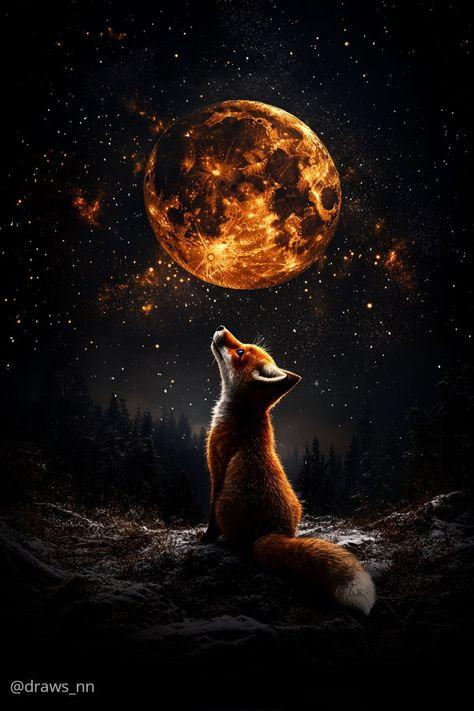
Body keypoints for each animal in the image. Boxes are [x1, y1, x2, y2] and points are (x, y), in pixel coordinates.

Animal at [202, 326, 376, 615]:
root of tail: (274, 531)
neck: (244, 414)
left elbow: (210, 515)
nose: (221, 329)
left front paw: (205, 539)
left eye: (240, 351)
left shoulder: (217, 468)